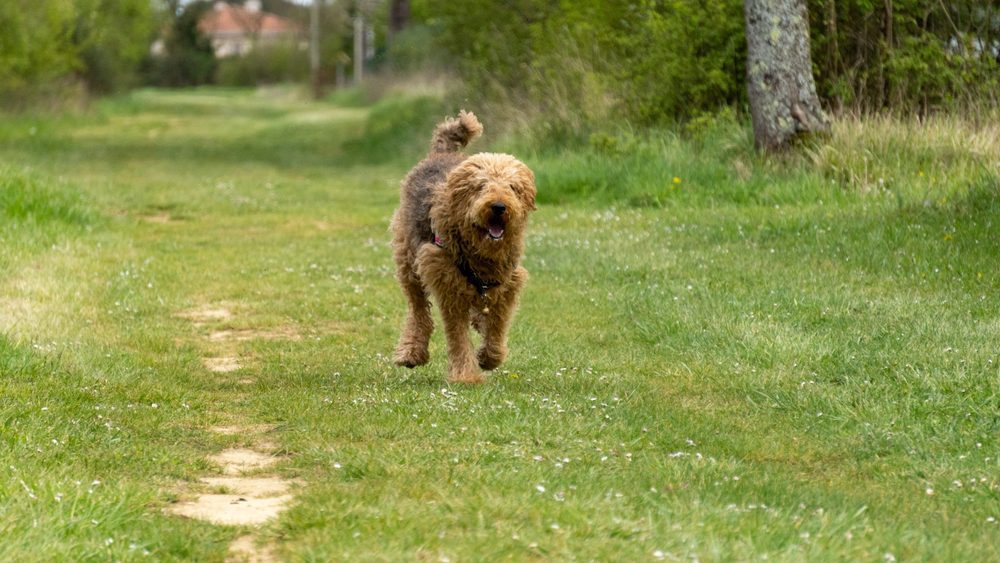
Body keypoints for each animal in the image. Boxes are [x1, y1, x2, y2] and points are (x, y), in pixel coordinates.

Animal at [388, 110, 536, 384]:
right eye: (481, 186)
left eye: (512, 187)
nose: (499, 207)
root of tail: (439, 153)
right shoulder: (447, 282)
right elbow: (458, 335)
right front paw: (466, 375)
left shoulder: (508, 282)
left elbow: (498, 324)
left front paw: (489, 356)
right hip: (409, 261)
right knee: (418, 310)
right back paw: (412, 352)